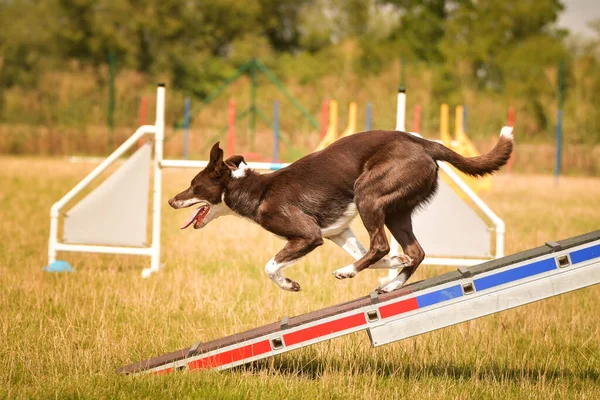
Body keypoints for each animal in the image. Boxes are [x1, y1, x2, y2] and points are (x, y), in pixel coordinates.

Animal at [166, 129, 512, 294]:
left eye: (194, 186)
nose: (170, 201)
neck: (256, 190)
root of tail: (424, 144)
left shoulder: (308, 236)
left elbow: (269, 266)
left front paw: (289, 284)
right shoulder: (338, 232)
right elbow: (381, 256)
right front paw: (393, 264)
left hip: (368, 195)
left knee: (380, 244)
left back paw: (348, 272)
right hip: (397, 211)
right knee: (415, 252)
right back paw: (392, 283)